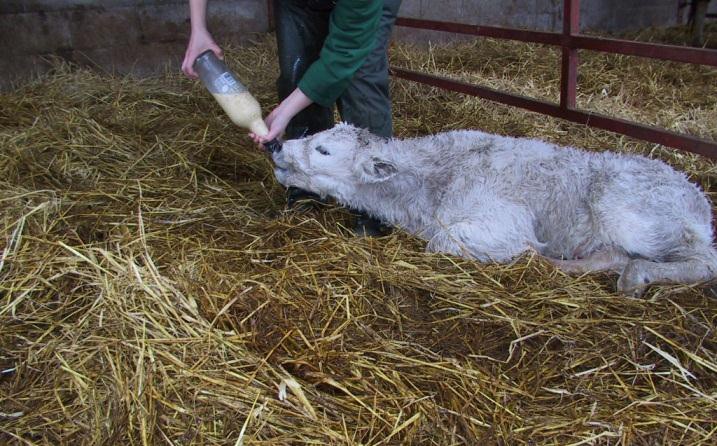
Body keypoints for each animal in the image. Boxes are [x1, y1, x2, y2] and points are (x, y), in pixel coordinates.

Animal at [272, 122, 712, 296]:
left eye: (323, 149)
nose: (276, 144)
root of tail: (698, 198)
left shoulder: (501, 221)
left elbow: (442, 242)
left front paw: (523, 252)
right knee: (613, 255)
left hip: (629, 213)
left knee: (705, 262)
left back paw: (637, 275)